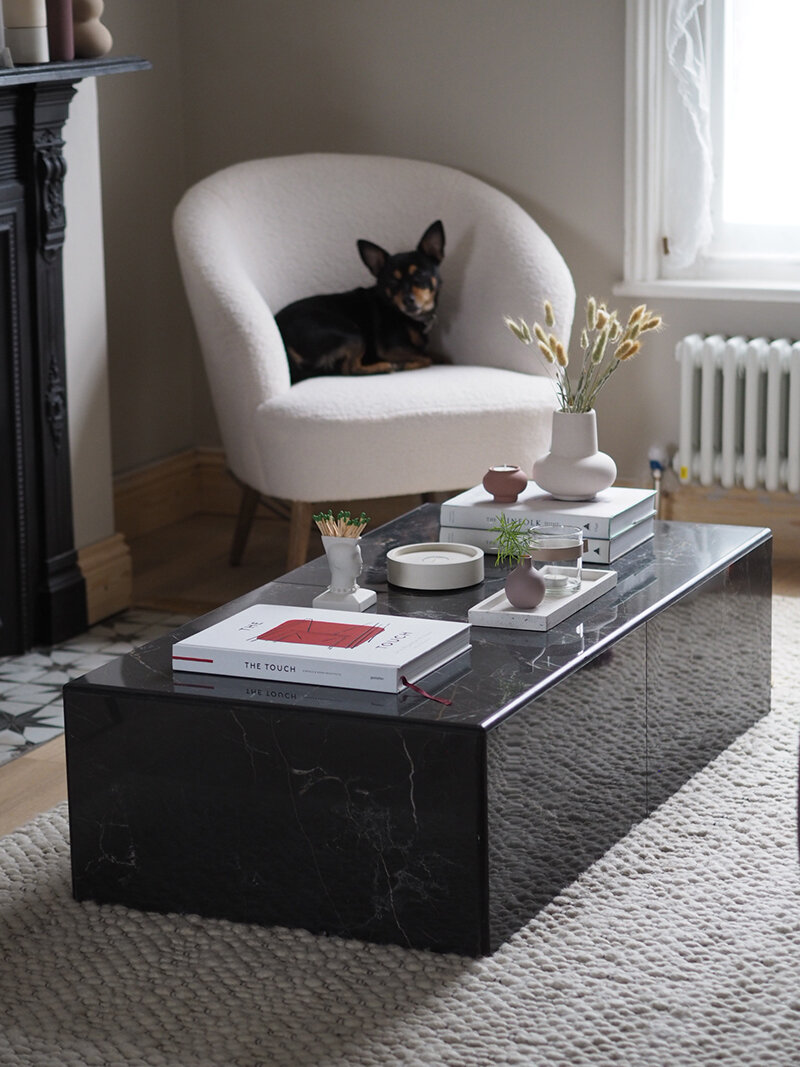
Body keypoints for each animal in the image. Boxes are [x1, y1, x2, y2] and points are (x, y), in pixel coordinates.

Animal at [277, 219, 448, 384]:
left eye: (420, 275)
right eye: (393, 282)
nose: (408, 300)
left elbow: (435, 354)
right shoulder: (390, 348)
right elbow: (426, 357)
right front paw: (407, 364)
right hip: (353, 334)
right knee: (348, 369)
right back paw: (385, 367)